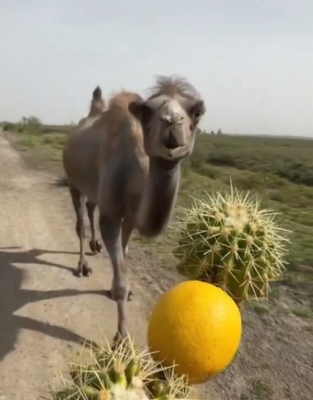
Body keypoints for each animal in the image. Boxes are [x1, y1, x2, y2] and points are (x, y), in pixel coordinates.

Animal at [62, 74, 206, 338]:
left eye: (196, 111)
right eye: (147, 111)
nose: (172, 122)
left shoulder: (129, 216)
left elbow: (125, 252)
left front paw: (121, 291)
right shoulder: (111, 216)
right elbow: (119, 265)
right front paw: (122, 336)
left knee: (91, 205)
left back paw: (95, 246)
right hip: (73, 181)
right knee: (80, 223)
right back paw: (82, 265)